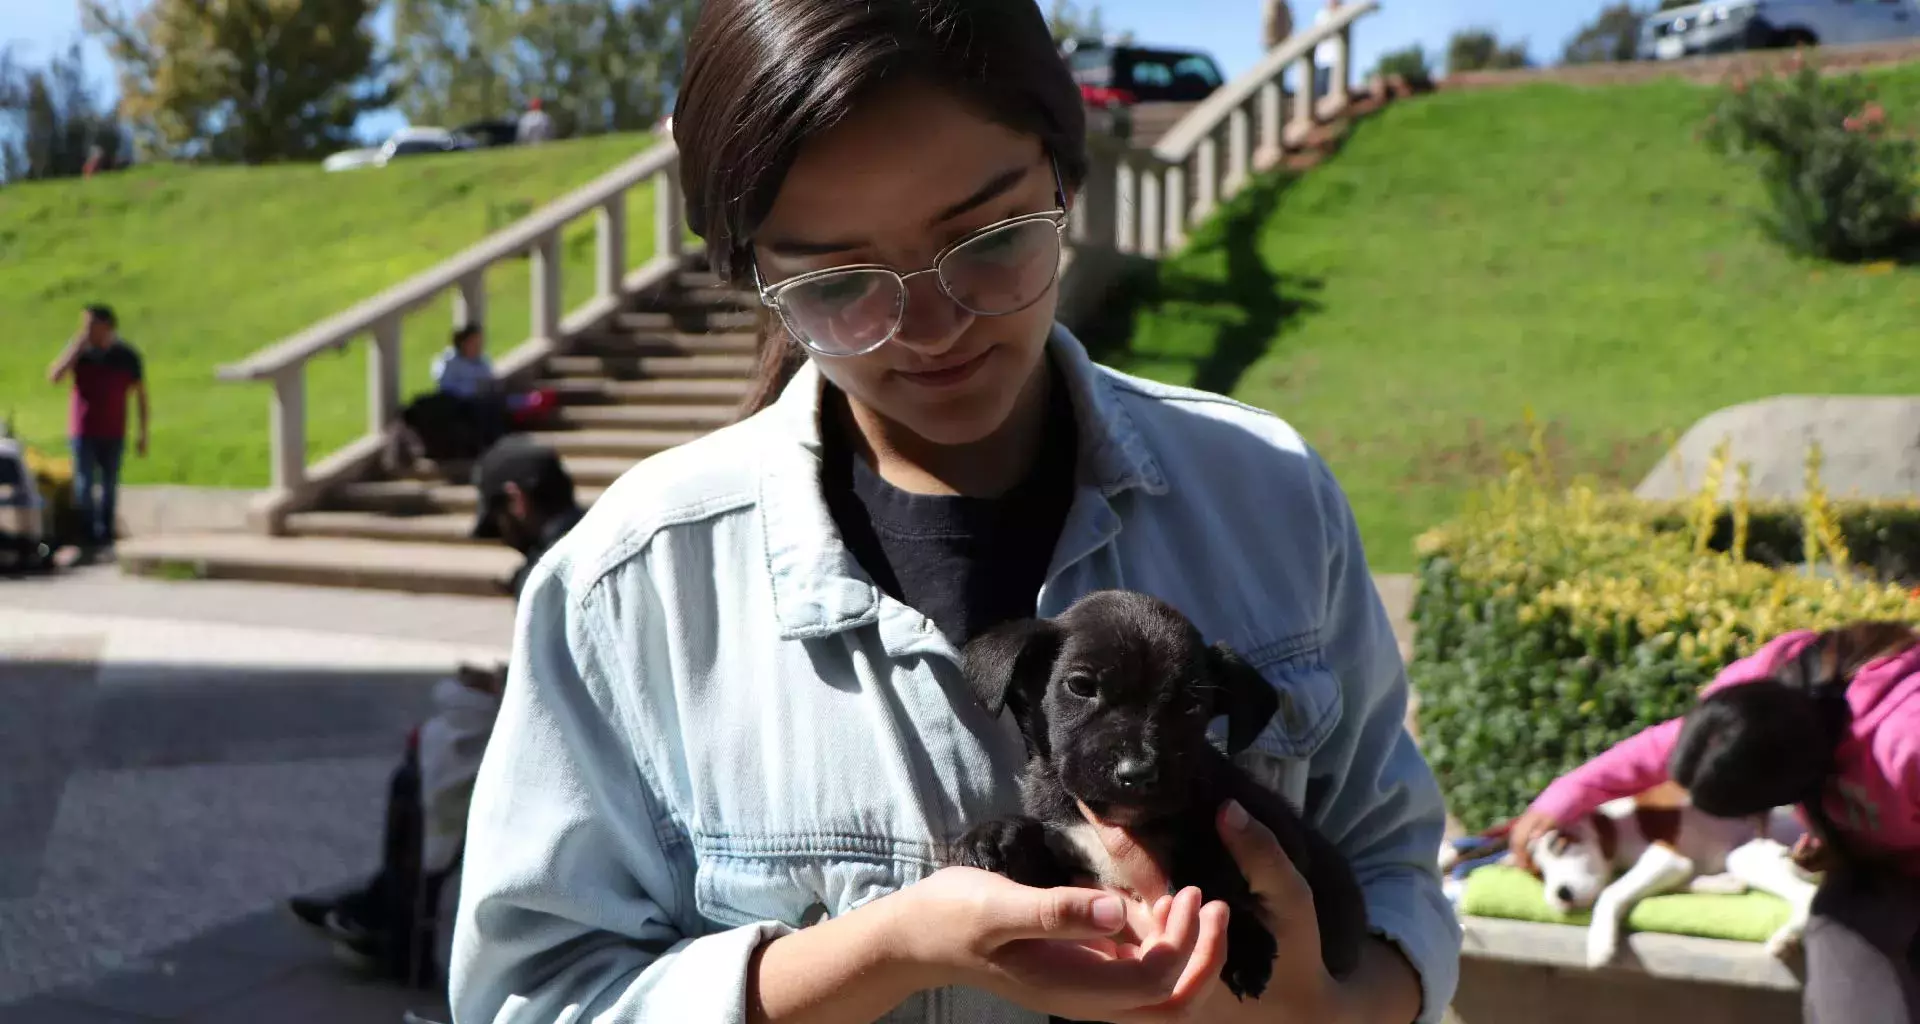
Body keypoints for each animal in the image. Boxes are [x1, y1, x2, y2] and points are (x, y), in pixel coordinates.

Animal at [956, 591, 1374, 999]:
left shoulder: (1268, 830)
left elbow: (1212, 875)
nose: (1137, 772)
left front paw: (1243, 946)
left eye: (1190, 704)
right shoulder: (1068, 860)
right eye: (1080, 686)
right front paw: (997, 835)